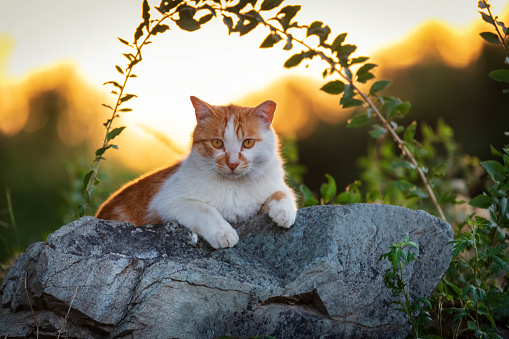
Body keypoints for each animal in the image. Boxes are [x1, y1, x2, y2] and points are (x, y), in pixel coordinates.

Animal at [94, 95, 298, 250]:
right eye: (217, 143)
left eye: (248, 143)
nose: (232, 163)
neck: (234, 187)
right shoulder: (167, 201)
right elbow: (204, 209)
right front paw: (223, 232)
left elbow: (282, 192)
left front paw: (284, 212)